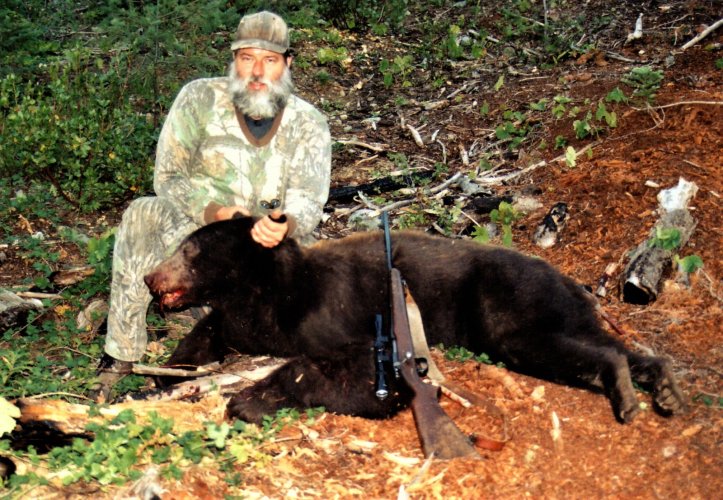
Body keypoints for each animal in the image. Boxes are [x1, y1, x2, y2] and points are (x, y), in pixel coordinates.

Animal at [144, 216, 685, 425]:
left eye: (188, 250)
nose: (150, 277)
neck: (271, 287)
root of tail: (572, 280)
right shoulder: (249, 318)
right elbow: (213, 330)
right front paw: (163, 375)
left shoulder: (335, 316)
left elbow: (348, 369)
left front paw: (248, 399)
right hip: (560, 308)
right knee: (597, 342)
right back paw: (661, 385)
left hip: (512, 301)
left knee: (552, 343)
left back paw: (628, 395)